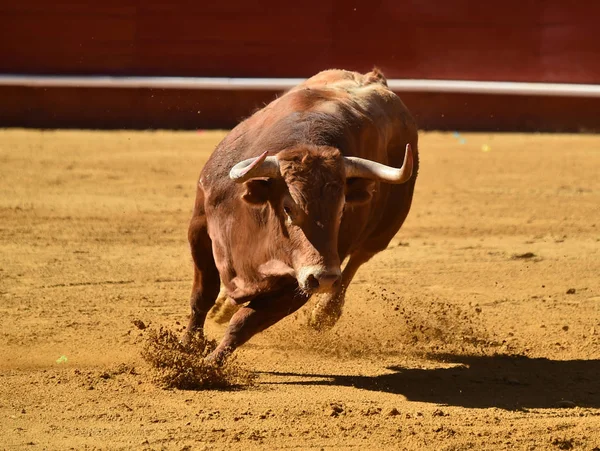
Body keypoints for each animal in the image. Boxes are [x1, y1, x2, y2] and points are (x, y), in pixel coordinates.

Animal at [185, 68, 420, 364]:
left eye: (342, 209)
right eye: (288, 208)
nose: (326, 278)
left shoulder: (300, 283)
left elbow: (244, 322)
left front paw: (207, 364)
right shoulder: (199, 229)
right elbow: (201, 296)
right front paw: (187, 346)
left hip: (381, 233)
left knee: (358, 258)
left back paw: (324, 314)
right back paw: (222, 307)